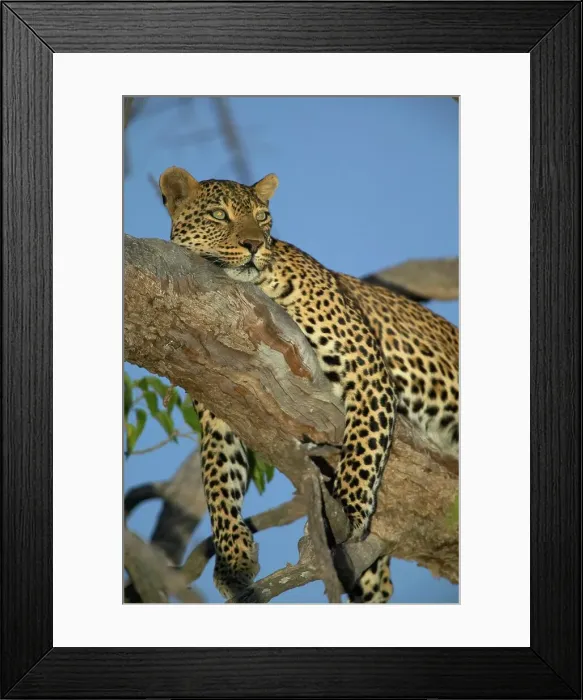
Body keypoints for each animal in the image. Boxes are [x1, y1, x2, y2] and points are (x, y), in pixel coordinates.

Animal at [159, 166, 459, 603]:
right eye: (218, 215)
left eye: (262, 217)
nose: (253, 244)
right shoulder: (218, 404)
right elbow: (217, 478)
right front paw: (233, 559)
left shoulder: (368, 369)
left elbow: (361, 450)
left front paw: (347, 510)